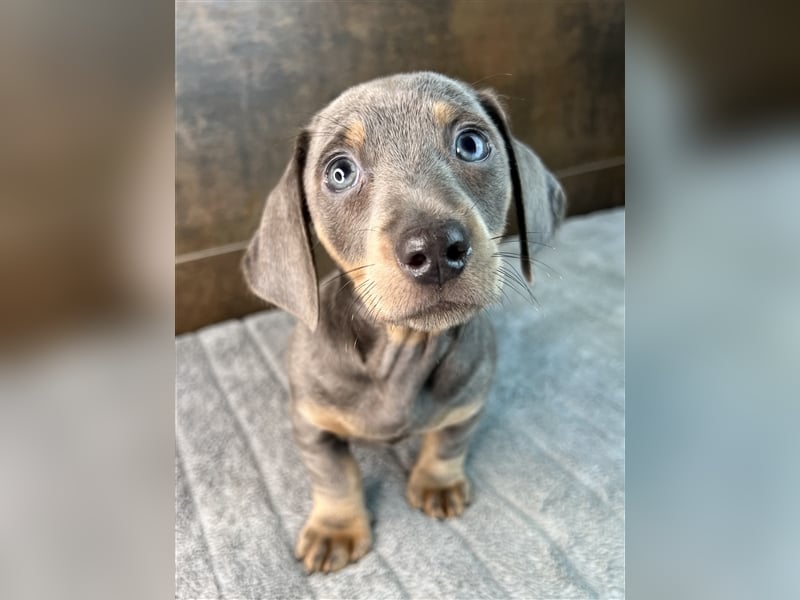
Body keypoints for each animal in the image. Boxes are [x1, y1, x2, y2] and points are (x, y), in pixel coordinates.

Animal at [242, 71, 564, 572]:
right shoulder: (311, 425)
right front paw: (336, 527)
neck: (406, 347)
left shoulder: (469, 400)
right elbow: (334, 475)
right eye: (339, 172)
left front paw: (438, 482)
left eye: (471, 143)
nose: (435, 249)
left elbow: (449, 442)